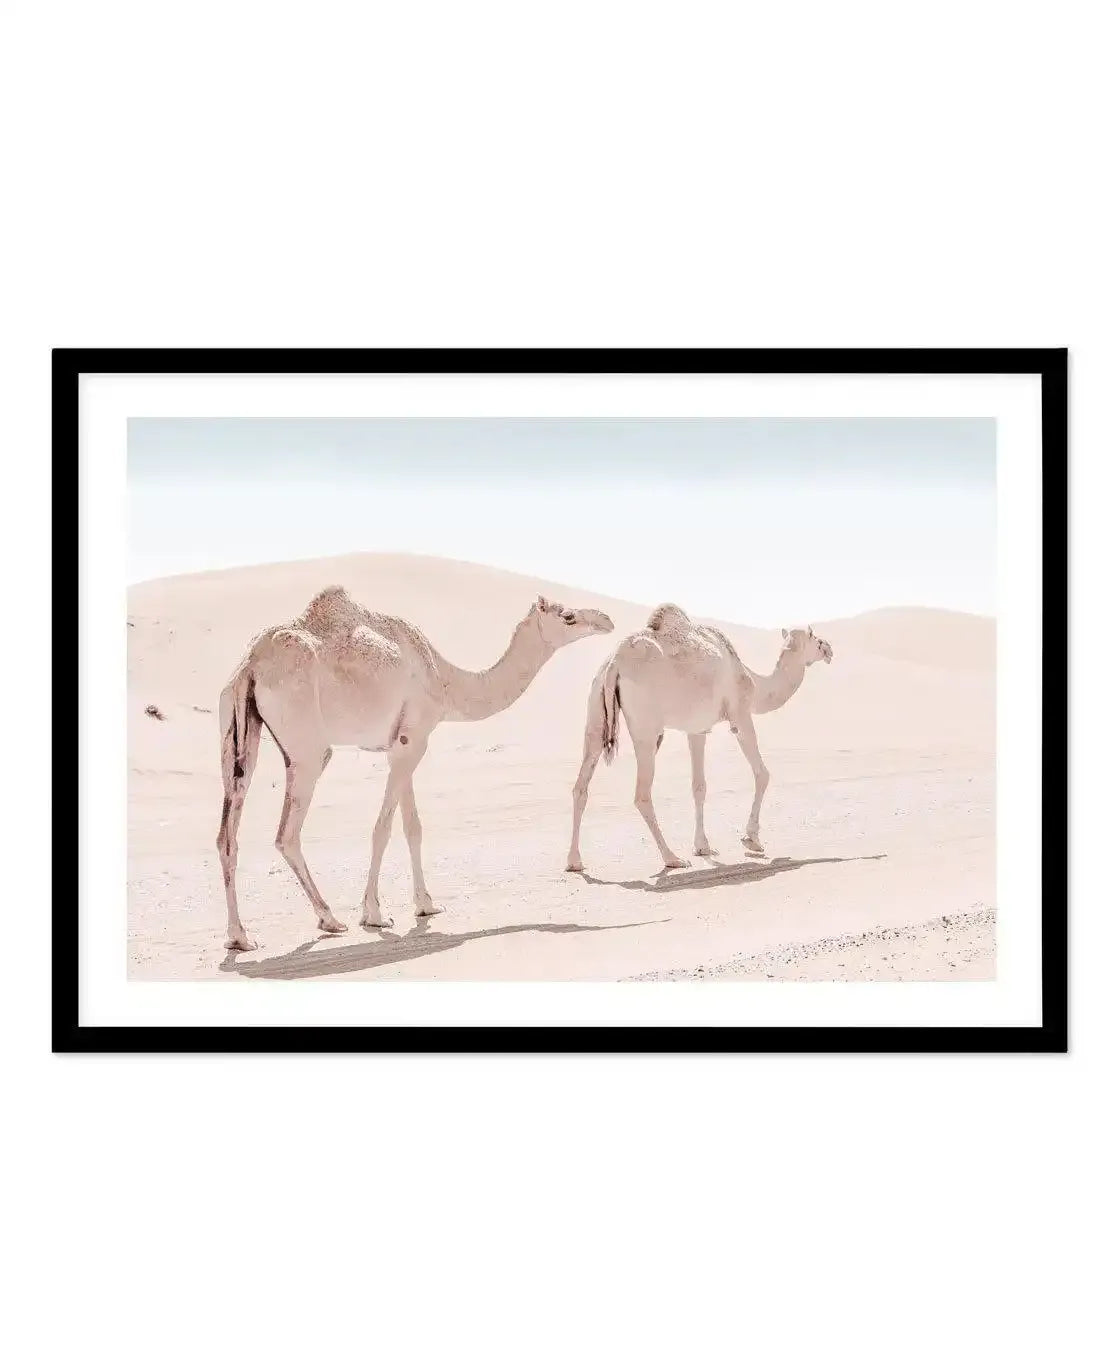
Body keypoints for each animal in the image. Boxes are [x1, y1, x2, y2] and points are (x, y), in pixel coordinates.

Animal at [216, 585, 613, 950]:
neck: (445, 680)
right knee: (287, 833)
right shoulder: (414, 740)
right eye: (568, 616)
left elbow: (412, 827)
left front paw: (426, 905)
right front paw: (374, 914)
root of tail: (250, 666)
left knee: (227, 834)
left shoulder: (403, 742)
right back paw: (329, 918)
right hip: (308, 748)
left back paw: (239, 937)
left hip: (236, 732)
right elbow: (384, 828)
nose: (607, 620)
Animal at [566, 604, 833, 872]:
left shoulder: (697, 729)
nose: (829, 649)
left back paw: (574, 861)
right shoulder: (740, 714)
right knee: (642, 793)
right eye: (816, 638)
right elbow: (762, 774)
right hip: (646, 727)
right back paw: (671, 858)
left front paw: (703, 846)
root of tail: (614, 664)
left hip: (596, 708)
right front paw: (752, 839)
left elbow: (699, 786)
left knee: (581, 786)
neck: (755, 683)